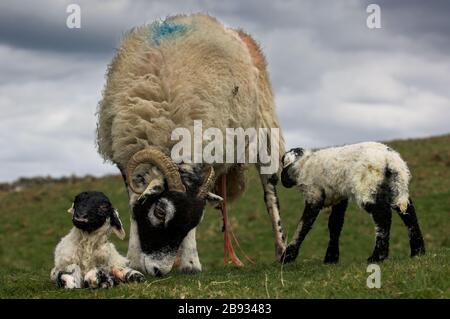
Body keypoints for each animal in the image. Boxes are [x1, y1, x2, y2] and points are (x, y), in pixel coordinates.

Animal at [96, 13, 286, 276]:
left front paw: (190, 263)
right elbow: (134, 205)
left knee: (269, 189)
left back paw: (282, 249)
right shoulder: (126, 160)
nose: (158, 271)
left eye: (194, 221)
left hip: (264, 131)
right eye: (160, 212)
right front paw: (134, 259)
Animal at [282, 142, 426, 264]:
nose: (283, 182)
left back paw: (377, 257)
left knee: (383, 215)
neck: (303, 164)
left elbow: (303, 225)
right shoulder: (340, 197)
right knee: (409, 214)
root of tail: (390, 159)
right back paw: (417, 252)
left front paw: (287, 256)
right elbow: (335, 224)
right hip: (394, 188)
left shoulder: (313, 194)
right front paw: (331, 258)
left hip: (368, 186)